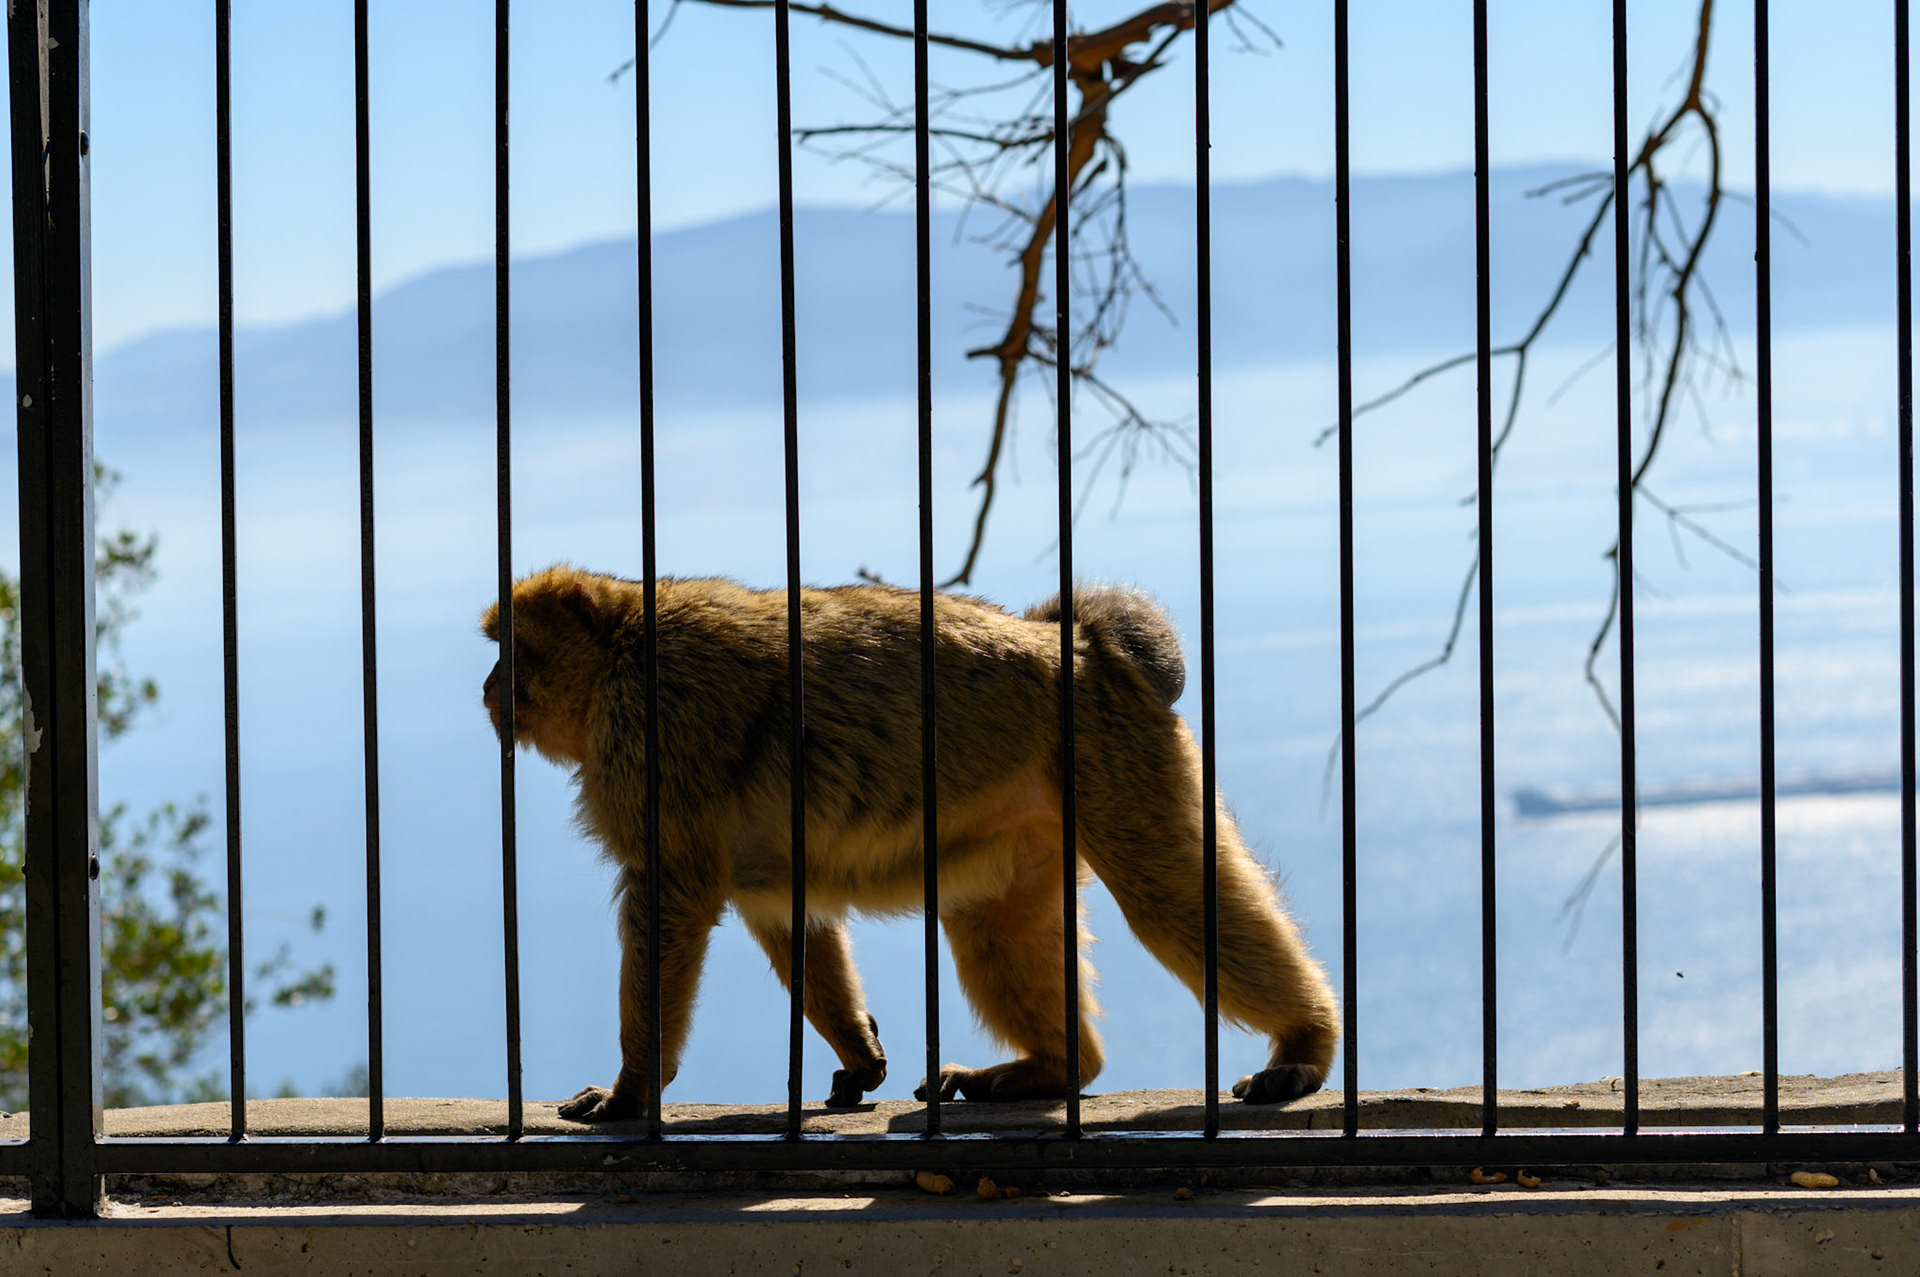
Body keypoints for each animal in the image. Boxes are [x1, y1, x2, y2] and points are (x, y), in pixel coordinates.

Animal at [482, 565, 1340, 1122]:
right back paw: (1055, 1068)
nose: (488, 688)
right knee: (996, 922)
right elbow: (786, 911)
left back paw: (1304, 1045)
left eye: (513, 647)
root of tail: (1076, 642)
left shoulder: (653, 737)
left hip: (1114, 758)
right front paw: (859, 1049)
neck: (621, 650)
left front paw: (632, 1087)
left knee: (1169, 896)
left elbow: (672, 895)